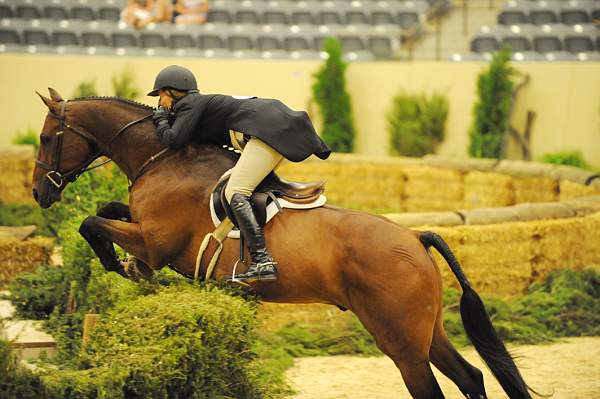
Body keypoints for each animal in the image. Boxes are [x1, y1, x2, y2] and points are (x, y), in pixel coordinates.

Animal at [31, 90, 536, 399]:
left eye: (46, 137)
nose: (39, 193)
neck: (162, 157)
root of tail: (415, 237)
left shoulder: (156, 243)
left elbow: (92, 222)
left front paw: (121, 265)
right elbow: (107, 210)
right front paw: (124, 263)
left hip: (400, 338)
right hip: (426, 331)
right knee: (471, 376)